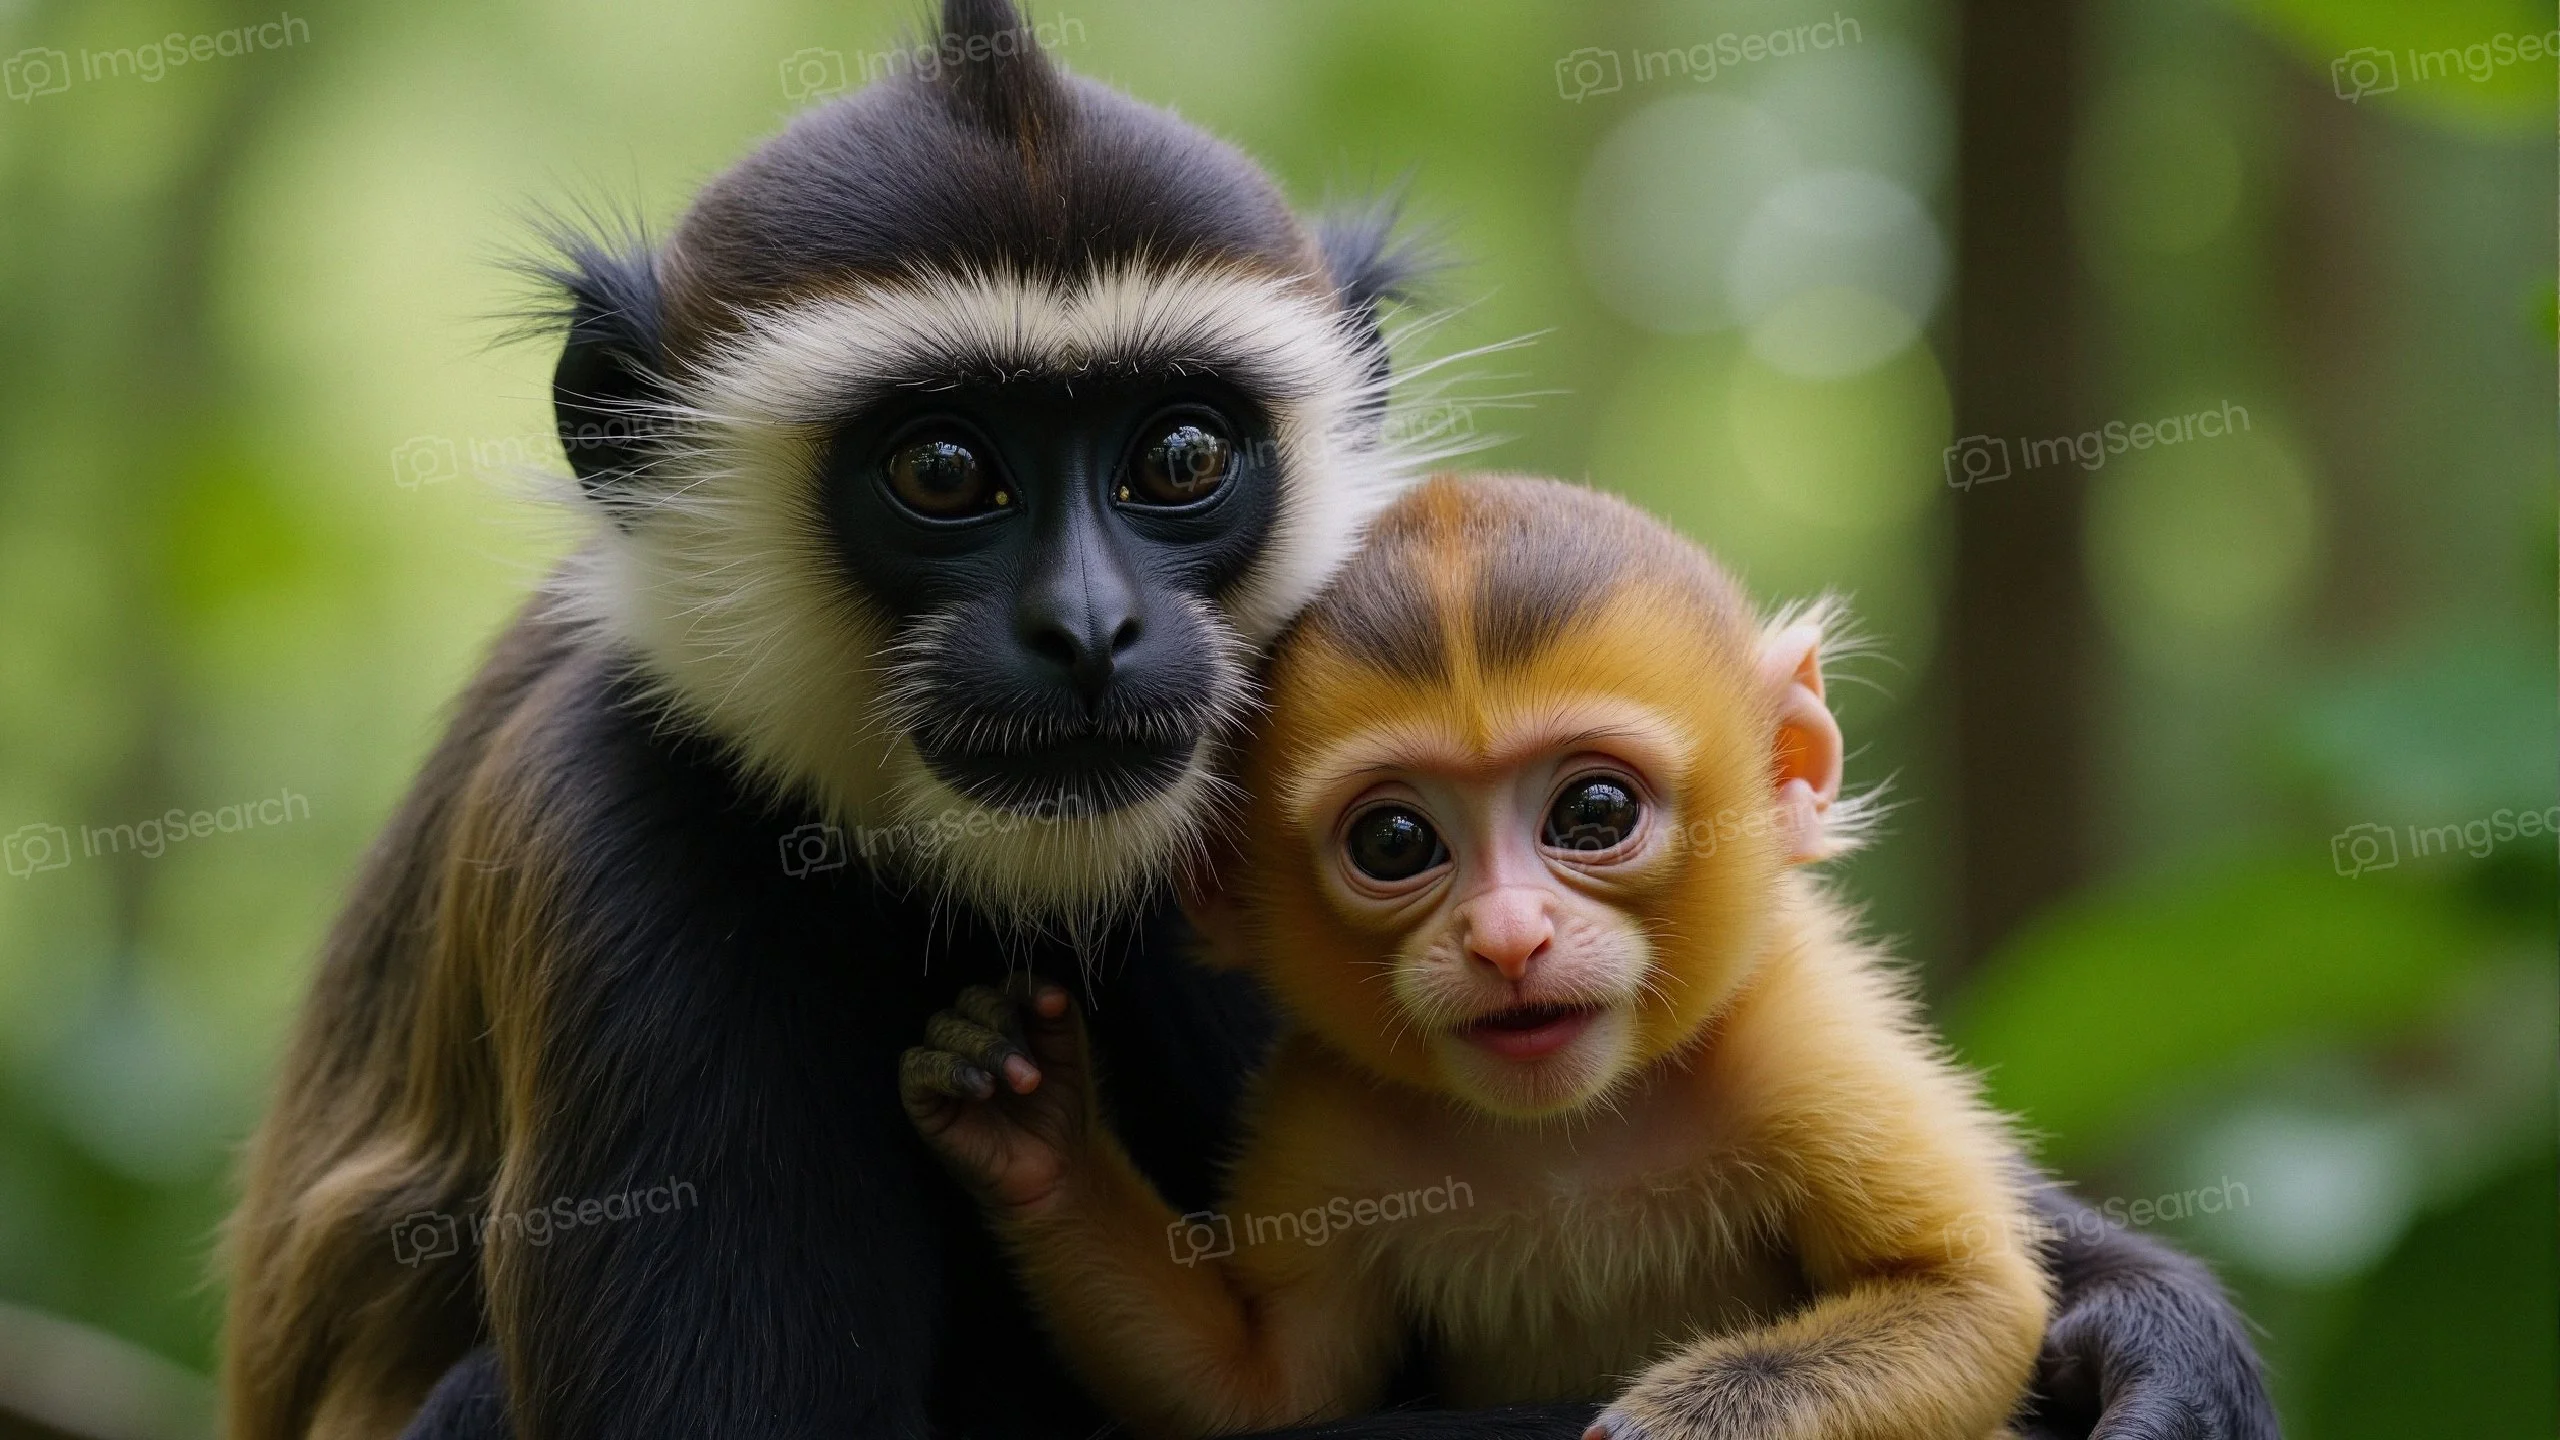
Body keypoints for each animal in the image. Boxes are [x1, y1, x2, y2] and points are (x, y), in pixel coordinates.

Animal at [898, 474, 2055, 1440]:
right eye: (1394, 842)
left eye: (1595, 812)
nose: (1507, 938)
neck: (1564, 1142)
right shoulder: (1324, 1124)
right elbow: (1264, 1393)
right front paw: (1032, 1119)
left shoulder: (1801, 1044)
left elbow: (1970, 1300)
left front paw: (1696, 1420)